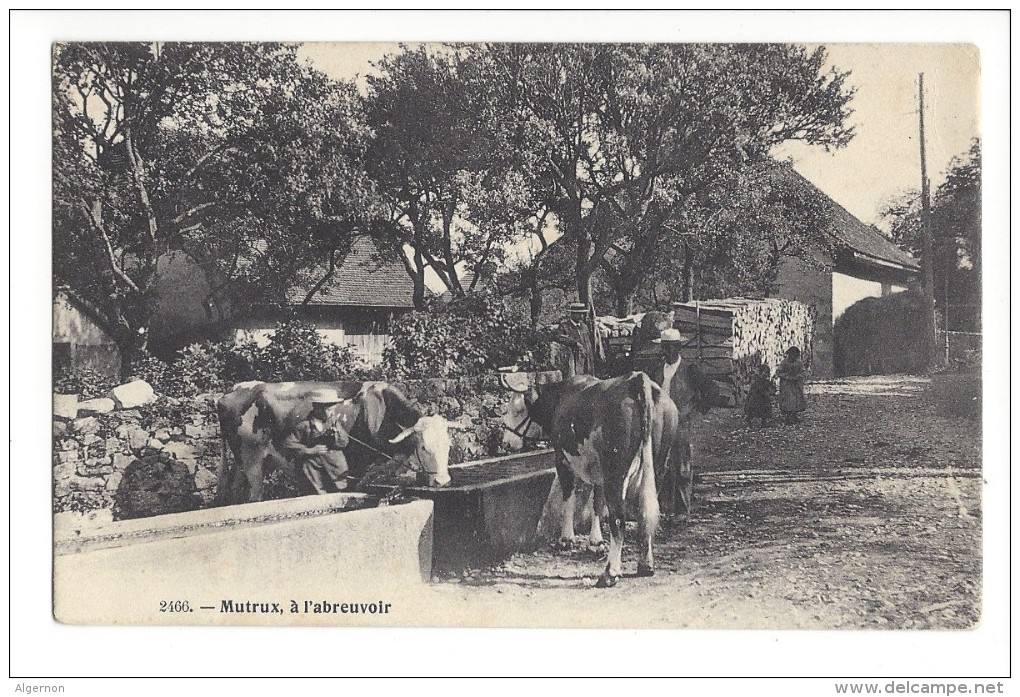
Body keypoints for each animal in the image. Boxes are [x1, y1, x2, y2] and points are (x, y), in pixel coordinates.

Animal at [216, 381, 459, 506]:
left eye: (448, 446)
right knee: (254, 497)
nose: (443, 481)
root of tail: (231, 391)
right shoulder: (354, 465)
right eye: (425, 447)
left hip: (243, 464)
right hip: (252, 462)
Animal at [522, 373, 681, 587]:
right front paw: (595, 542)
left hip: (616, 472)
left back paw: (610, 573)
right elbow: (596, 502)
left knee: (618, 520)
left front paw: (566, 539)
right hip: (657, 466)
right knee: (645, 514)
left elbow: (569, 497)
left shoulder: (562, 460)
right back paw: (645, 566)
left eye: (518, 410)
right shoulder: (598, 471)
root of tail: (637, 379)